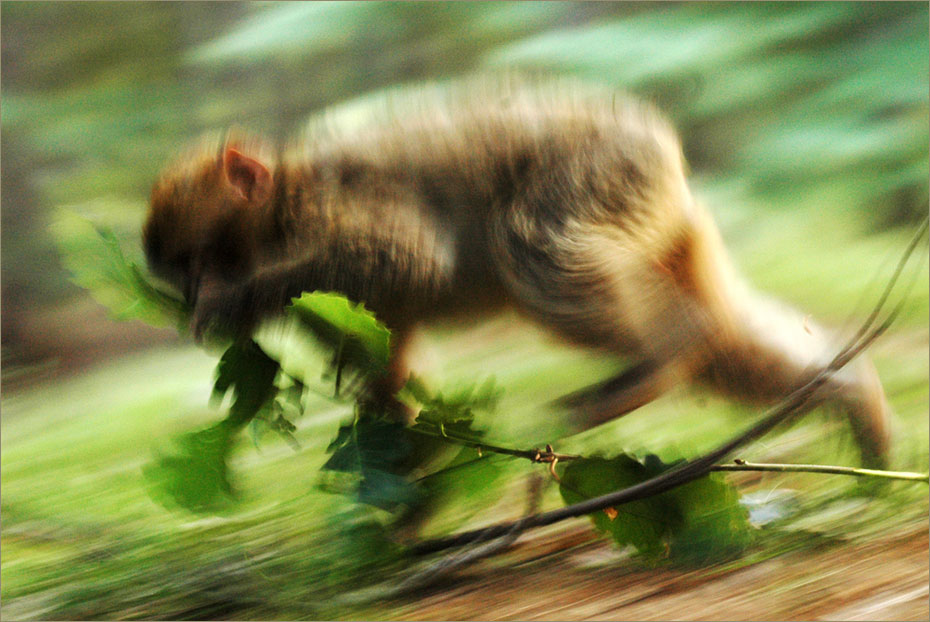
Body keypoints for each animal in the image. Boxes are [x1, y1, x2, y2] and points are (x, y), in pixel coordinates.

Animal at [141, 77, 888, 468]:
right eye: (180, 275)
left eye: (204, 263)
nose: (192, 294)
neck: (287, 204)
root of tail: (668, 162)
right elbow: (389, 335)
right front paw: (396, 435)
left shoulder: (334, 209)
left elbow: (409, 255)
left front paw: (237, 304)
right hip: (652, 222)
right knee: (722, 336)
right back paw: (846, 395)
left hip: (599, 178)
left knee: (533, 254)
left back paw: (661, 364)